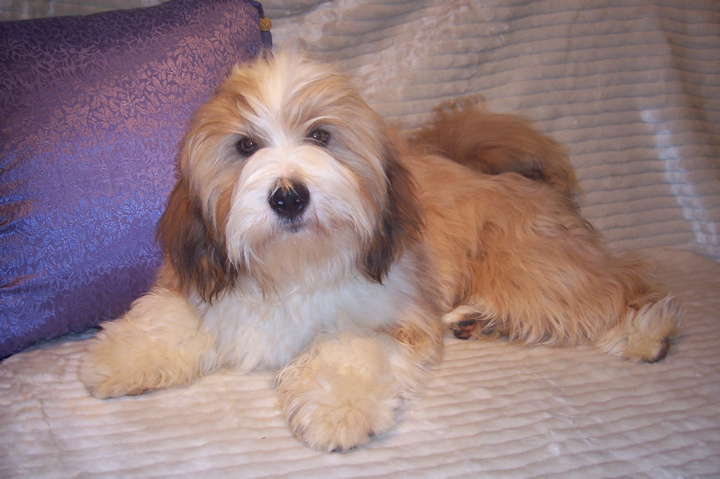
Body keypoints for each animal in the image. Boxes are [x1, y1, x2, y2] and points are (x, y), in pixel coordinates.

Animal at [80, 51, 680, 454]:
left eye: (320, 136)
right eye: (245, 146)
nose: (288, 195)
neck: (297, 266)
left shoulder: (391, 310)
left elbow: (348, 349)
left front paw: (335, 411)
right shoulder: (209, 285)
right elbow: (167, 317)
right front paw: (119, 357)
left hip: (531, 268)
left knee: (619, 282)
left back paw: (645, 333)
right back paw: (477, 322)